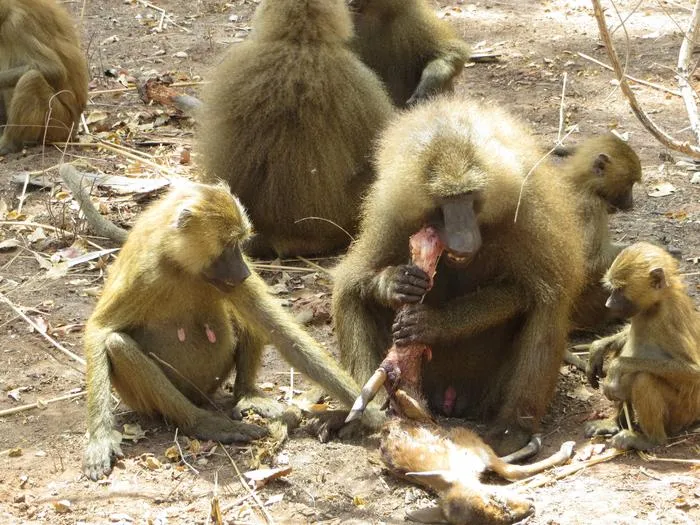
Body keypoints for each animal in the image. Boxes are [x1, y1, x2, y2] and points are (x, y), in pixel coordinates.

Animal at [83, 182, 375, 481]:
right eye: (228, 245)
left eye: (239, 244)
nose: (244, 271)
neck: (177, 259)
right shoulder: (145, 271)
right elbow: (99, 330)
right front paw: (100, 438)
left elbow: (281, 332)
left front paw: (368, 410)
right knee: (117, 345)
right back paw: (204, 424)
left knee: (248, 319)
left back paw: (247, 395)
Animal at [332, 96, 585, 456]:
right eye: (445, 201)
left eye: (469, 196)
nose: (464, 240)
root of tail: (450, 400)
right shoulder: (390, 214)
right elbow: (354, 279)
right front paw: (395, 283)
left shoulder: (529, 208)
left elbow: (529, 289)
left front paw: (434, 323)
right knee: (349, 296)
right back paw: (374, 414)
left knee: (547, 304)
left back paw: (512, 430)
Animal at [380, 419, 575, 525]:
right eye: (503, 520)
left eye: (493, 497)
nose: (531, 506)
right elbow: (513, 472)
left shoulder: (473, 444)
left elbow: (512, 471)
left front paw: (566, 447)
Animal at [583, 242, 700, 450]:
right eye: (613, 288)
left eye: (620, 289)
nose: (608, 304)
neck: (656, 304)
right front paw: (597, 348)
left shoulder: (669, 320)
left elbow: (693, 372)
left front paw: (616, 367)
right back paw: (615, 422)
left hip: (683, 412)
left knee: (644, 379)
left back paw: (650, 440)